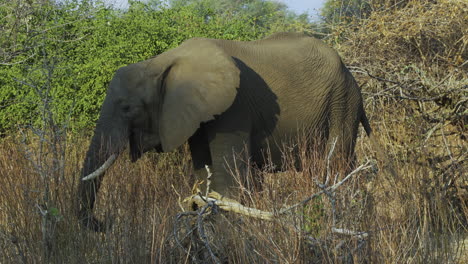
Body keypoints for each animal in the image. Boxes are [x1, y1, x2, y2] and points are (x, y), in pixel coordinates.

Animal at [79, 32, 372, 231]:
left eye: (127, 108)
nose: (104, 223)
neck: (163, 62)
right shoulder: (196, 114)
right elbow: (203, 172)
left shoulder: (234, 109)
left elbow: (227, 177)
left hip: (342, 103)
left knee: (336, 163)